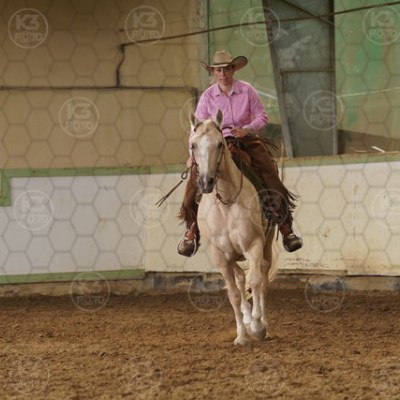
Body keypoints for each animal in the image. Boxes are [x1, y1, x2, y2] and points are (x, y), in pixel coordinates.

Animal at [189, 110, 276, 345]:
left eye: (220, 144)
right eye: (193, 145)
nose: (206, 182)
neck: (226, 203)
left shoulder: (254, 245)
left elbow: (255, 281)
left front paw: (257, 327)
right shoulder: (220, 256)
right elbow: (234, 294)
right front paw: (241, 335)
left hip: (266, 245)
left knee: (262, 279)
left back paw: (262, 324)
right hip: (231, 256)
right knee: (239, 278)